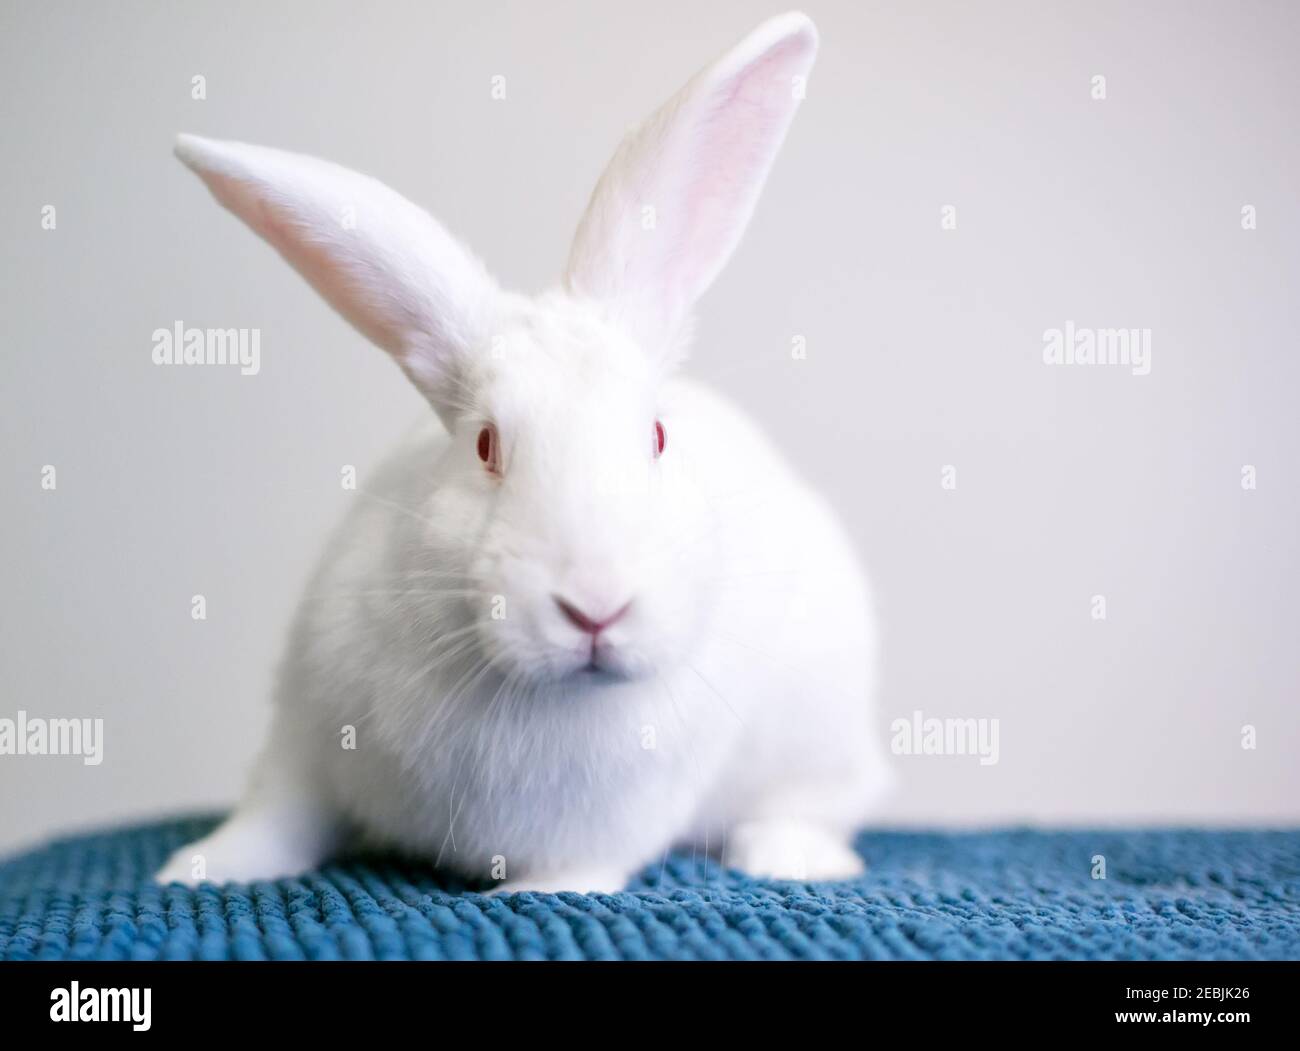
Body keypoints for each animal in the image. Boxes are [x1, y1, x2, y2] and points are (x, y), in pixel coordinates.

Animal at [155, 11, 892, 894]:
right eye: (485, 444)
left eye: (657, 436)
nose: (595, 607)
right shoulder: (303, 734)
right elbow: (276, 817)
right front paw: (199, 870)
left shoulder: (617, 818)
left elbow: (573, 871)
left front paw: (536, 891)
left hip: (823, 739)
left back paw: (789, 858)